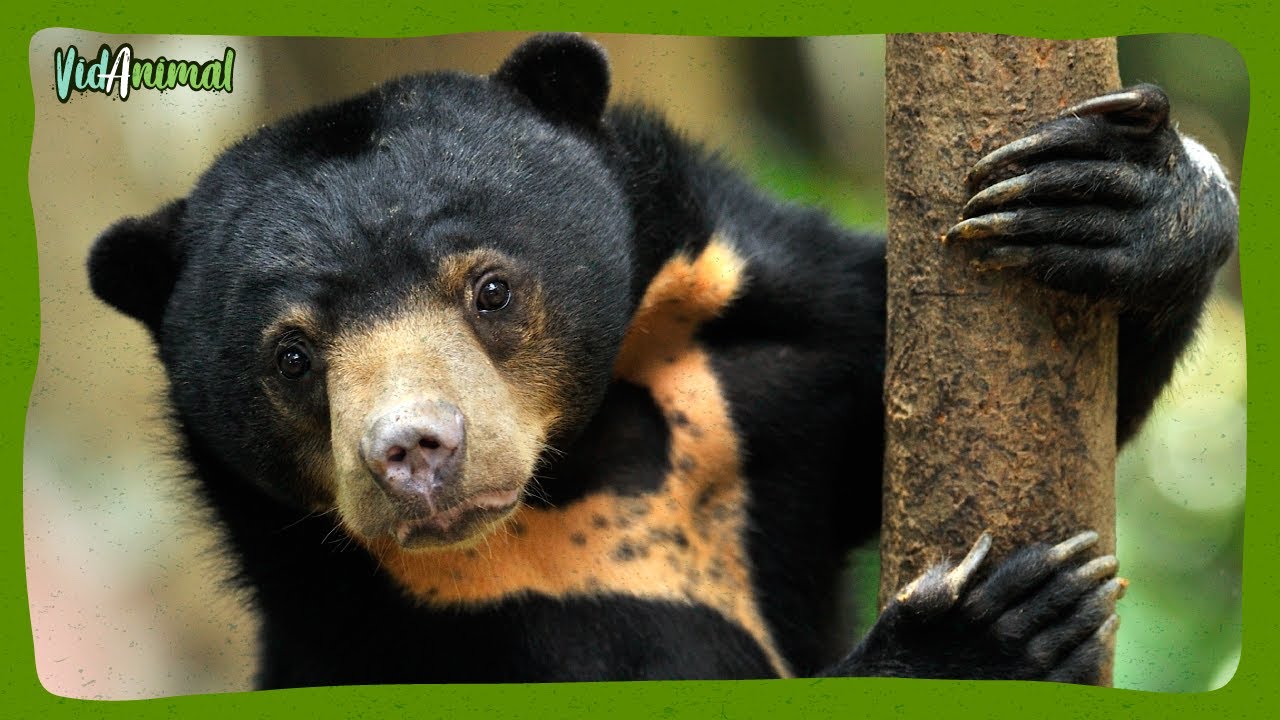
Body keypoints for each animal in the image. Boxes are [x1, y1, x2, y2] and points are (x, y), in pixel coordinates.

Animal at [87, 34, 1237, 687]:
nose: (411, 453)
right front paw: (996, 627)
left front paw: (1123, 197)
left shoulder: (770, 370)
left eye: (490, 289)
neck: (586, 463)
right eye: (290, 355)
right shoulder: (434, 629)